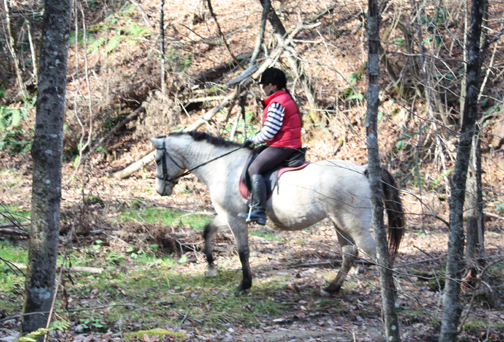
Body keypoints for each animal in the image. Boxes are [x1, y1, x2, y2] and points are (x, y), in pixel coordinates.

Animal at [150, 130, 406, 296]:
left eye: (158, 159)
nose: (161, 190)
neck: (221, 167)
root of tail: (363, 170)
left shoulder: (234, 219)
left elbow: (243, 251)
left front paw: (244, 284)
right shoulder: (227, 216)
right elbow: (207, 231)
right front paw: (212, 268)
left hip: (354, 225)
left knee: (378, 255)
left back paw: (390, 294)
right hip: (339, 223)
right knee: (349, 253)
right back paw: (331, 289)